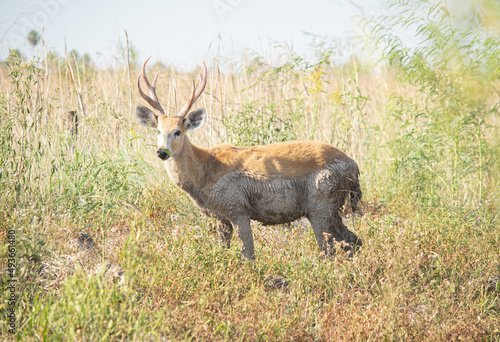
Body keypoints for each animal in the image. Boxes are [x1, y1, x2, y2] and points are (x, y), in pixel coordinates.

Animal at [136, 57, 364, 260]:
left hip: (321, 203)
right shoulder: (221, 218)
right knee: (353, 241)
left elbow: (248, 255)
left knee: (329, 250)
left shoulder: (237, 208)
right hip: (333, 208)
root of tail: (353, 166)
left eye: (178, 131)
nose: (162, 152)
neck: (203, 172)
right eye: (158, 130)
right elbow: (223, 251)